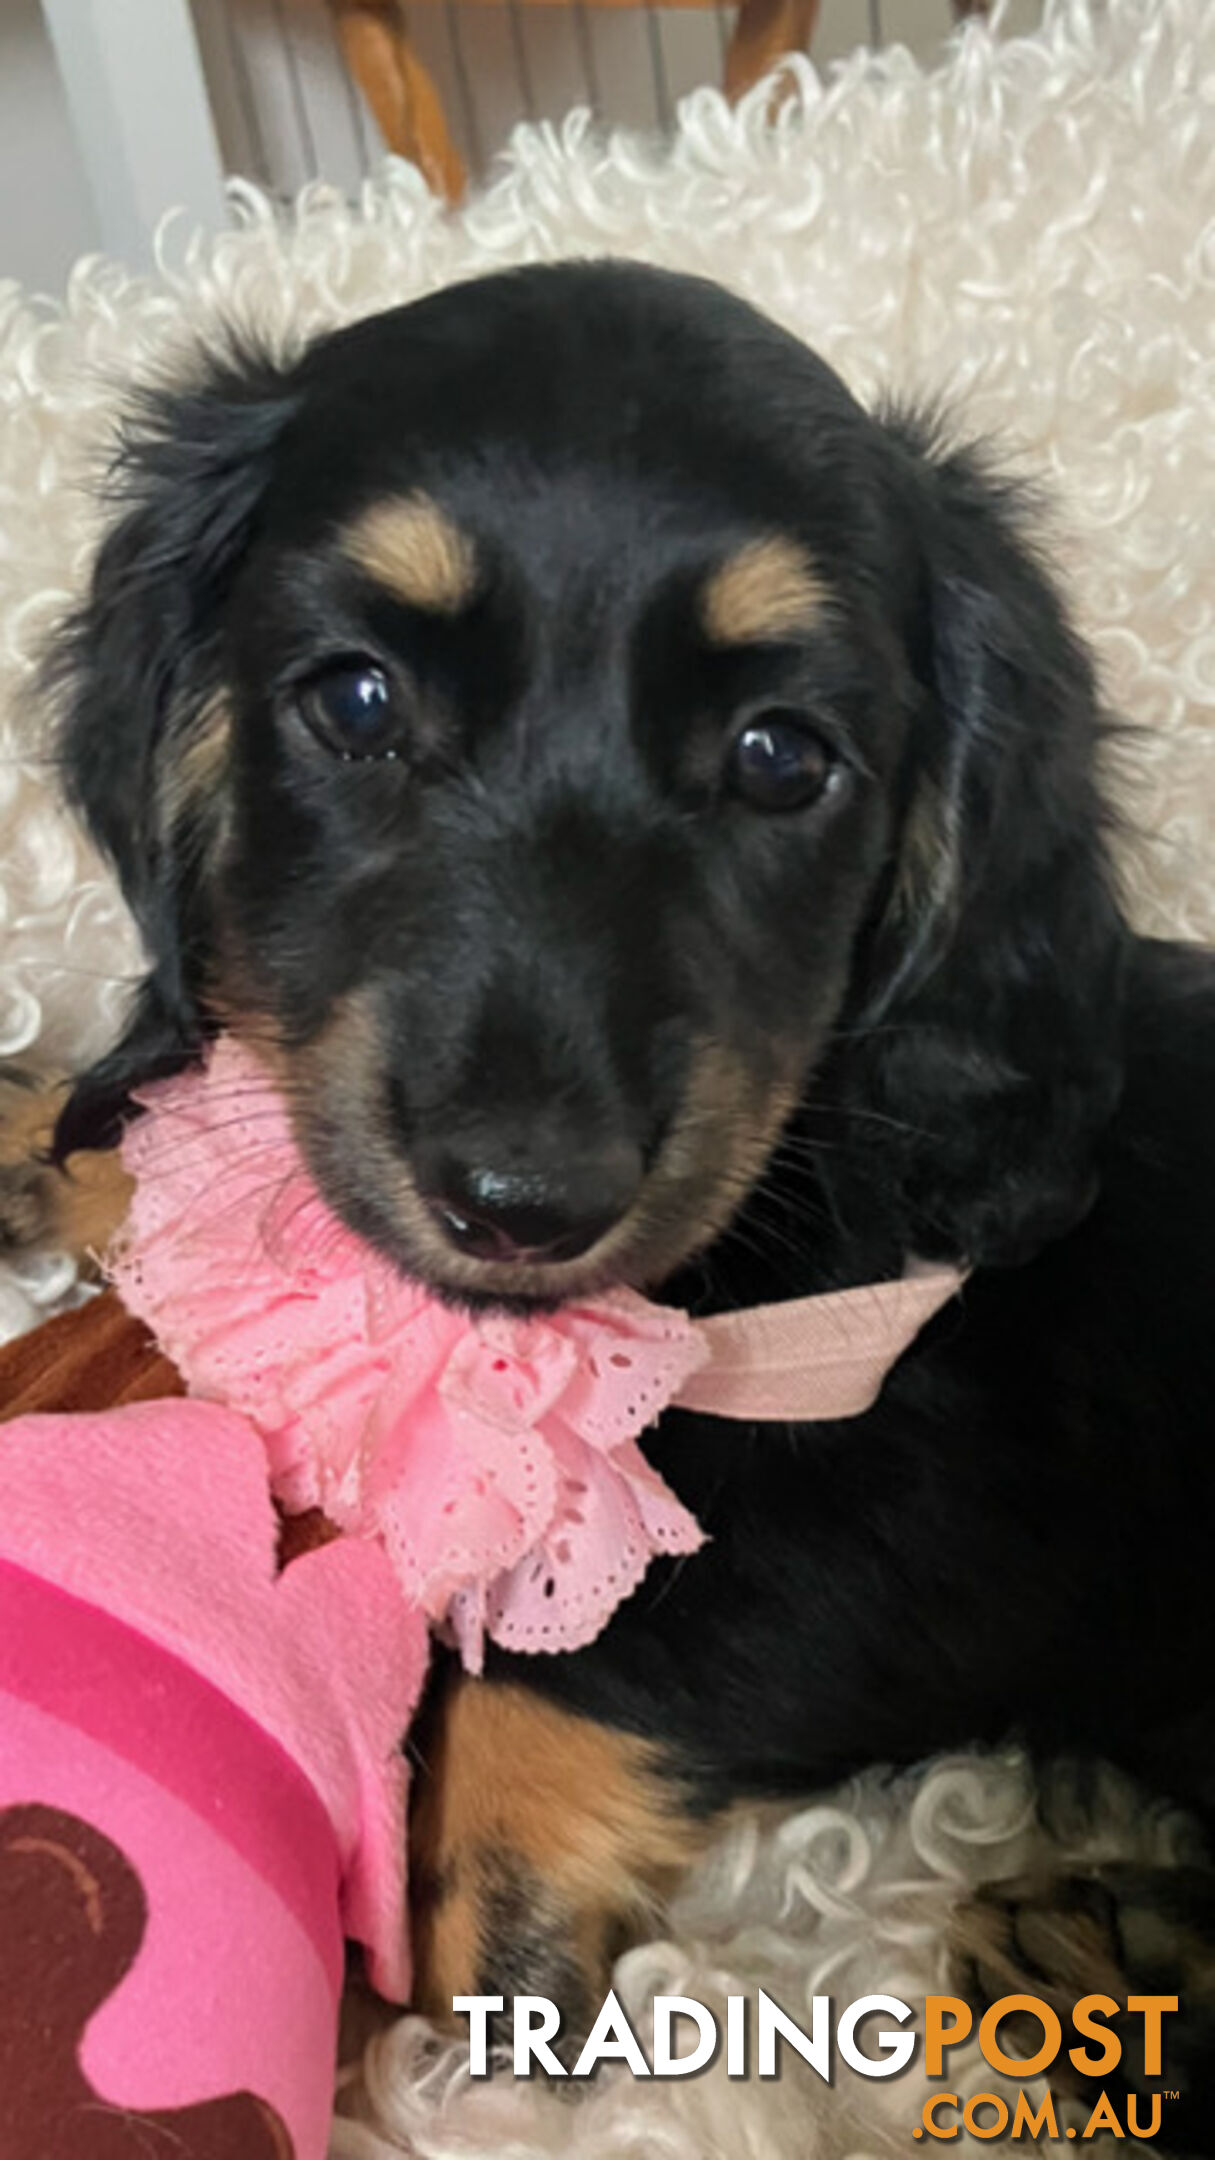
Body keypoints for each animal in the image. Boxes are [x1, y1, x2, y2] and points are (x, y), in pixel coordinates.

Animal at [9, 265, 1210, 2125]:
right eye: (357, 702)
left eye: (781, 756)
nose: (520, 1202)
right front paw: (44, 1140)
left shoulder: (933, 1478)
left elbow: (598, 1645)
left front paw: (477, 1943)